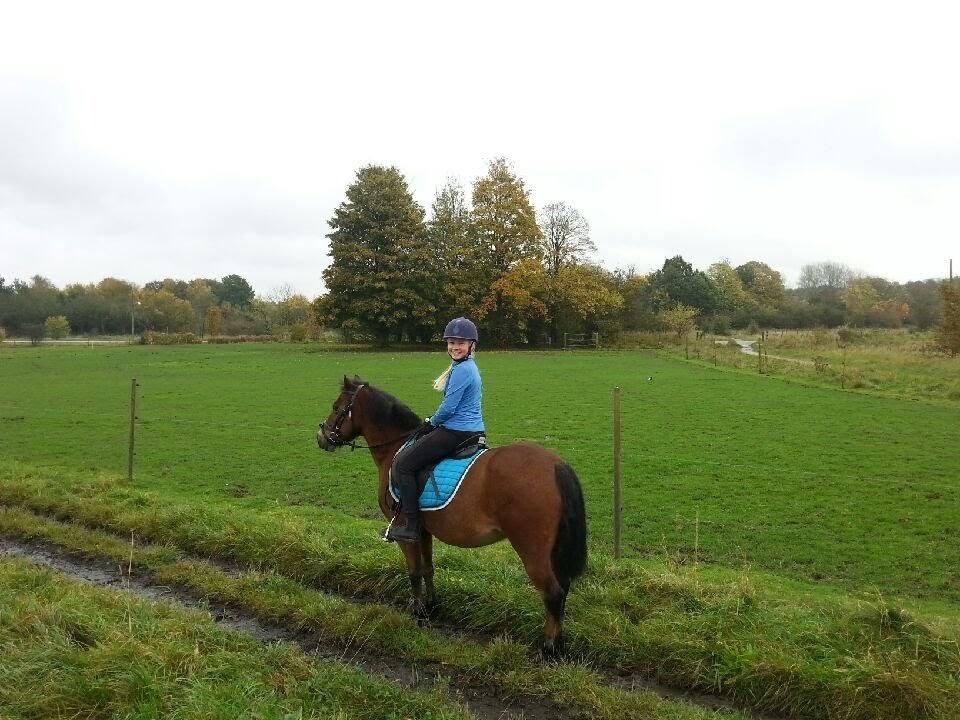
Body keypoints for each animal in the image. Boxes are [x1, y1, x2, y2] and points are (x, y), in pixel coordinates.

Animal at [316, 374, 584, 656]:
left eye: (336, 407)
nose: (321, 435)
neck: (395, 448)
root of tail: (556, 464)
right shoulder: (422, 531)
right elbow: (428, 568)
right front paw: (431, 606)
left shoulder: (404, 532)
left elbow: (413, 571)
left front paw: (417, 612)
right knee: (563, 589)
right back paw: (559, 642)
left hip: (532, 549)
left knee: (553, 593)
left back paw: (549, 648)